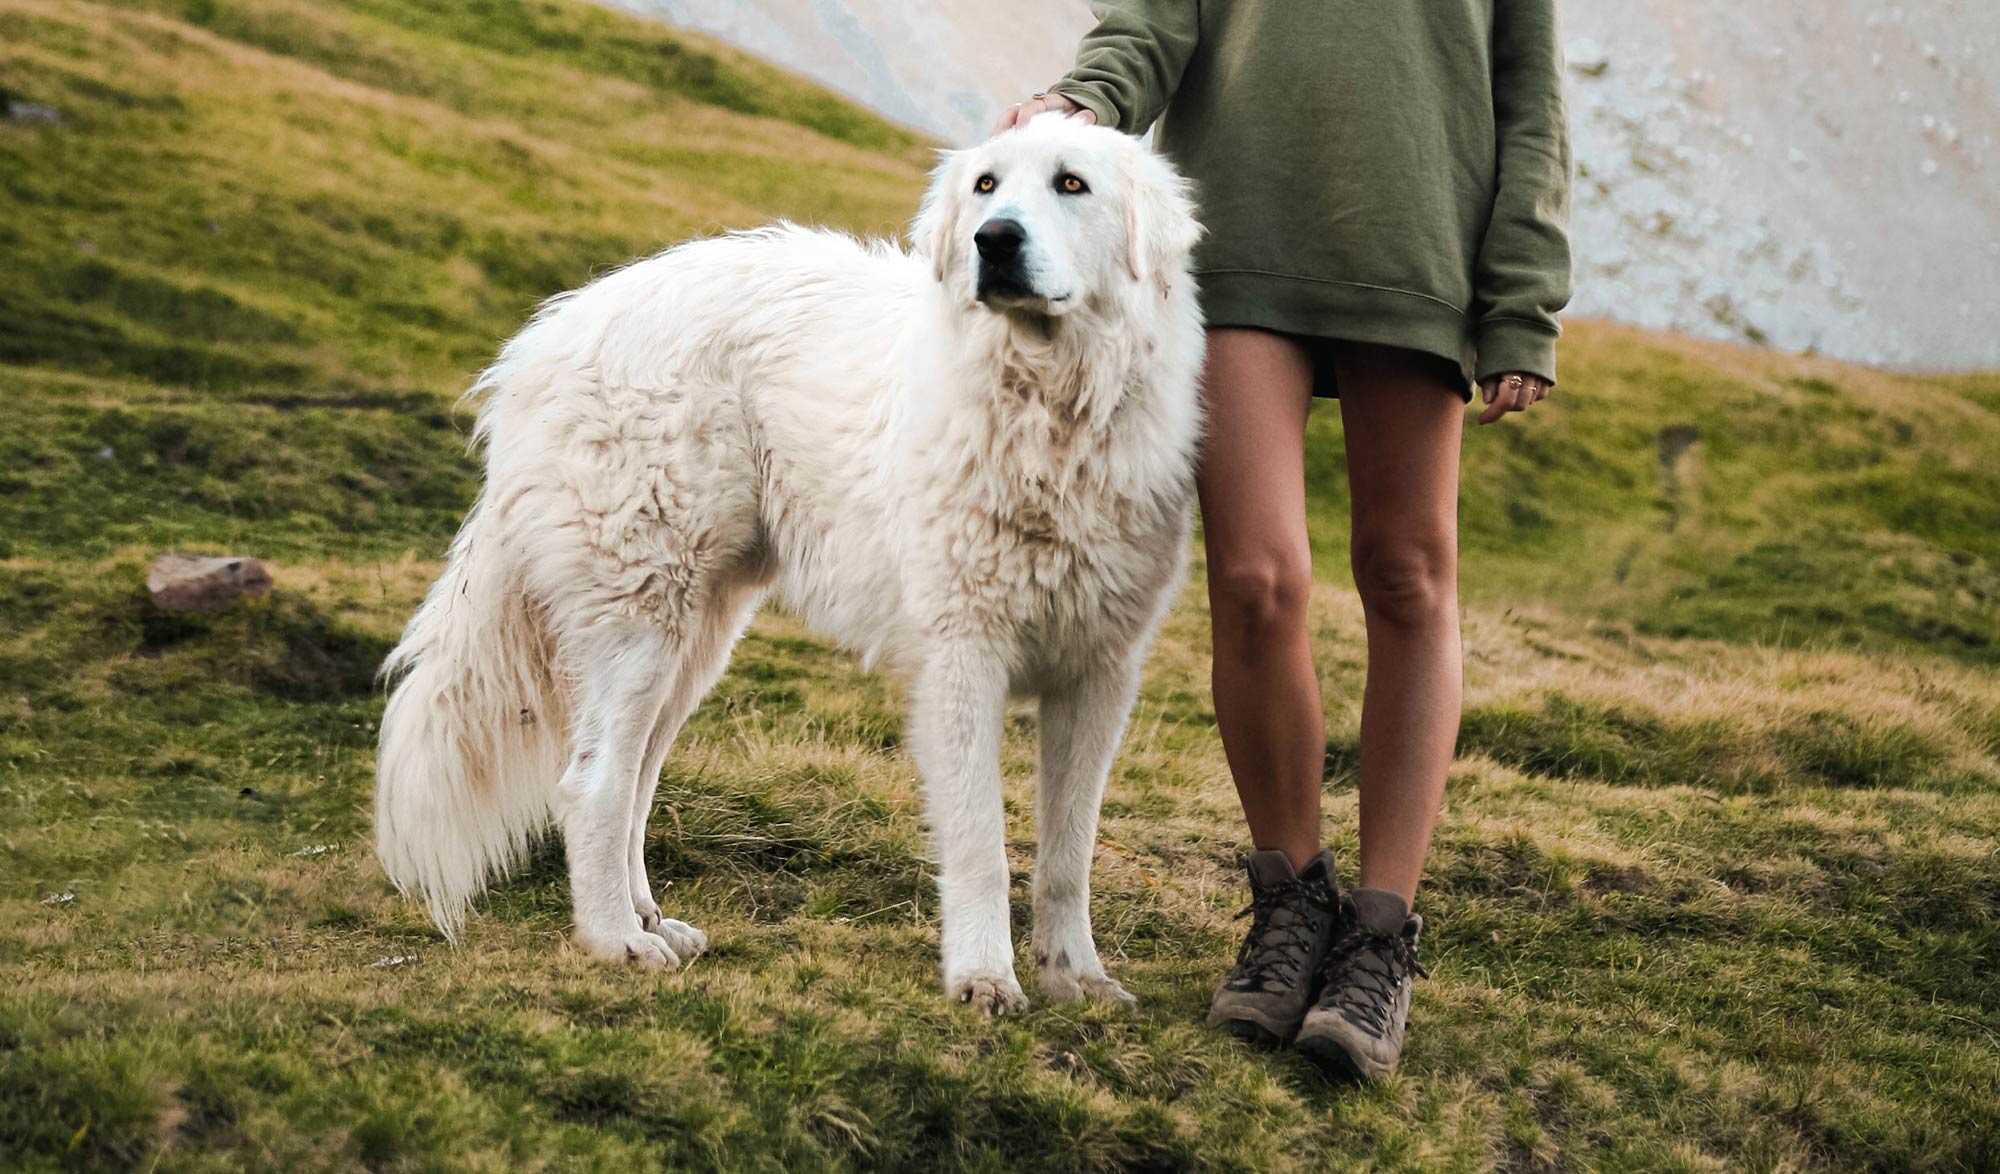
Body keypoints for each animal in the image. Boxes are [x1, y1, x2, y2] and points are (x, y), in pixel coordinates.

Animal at [376, 115, 1200, 1016]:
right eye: (987, 186)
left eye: (1071, 184)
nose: (995, 240)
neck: (1048, 412)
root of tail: (554, 330)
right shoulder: (963, 660)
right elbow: (983, 841)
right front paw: (984, 978)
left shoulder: (1101, 671)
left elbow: (1069, 850)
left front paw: (1074, 976)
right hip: (641, 615)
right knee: (590, 783)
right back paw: (615, 940)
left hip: (696, 636)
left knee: (636, 778)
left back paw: (649, 917)